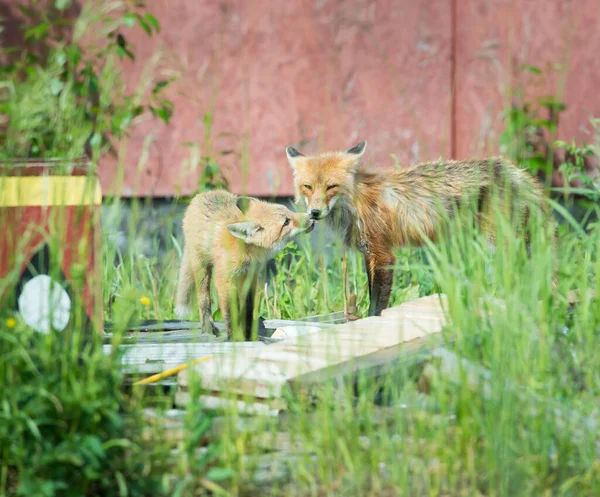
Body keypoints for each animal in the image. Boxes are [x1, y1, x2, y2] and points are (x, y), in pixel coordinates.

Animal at [173, 189, 314, 338]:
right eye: (286, 222)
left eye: (289, 211)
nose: (312, 216)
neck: (246, 251)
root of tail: (200, 195)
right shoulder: (224, 279)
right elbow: (230, 312)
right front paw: (234, 336)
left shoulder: (250, 276)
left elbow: (248, 310)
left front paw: (249, 335)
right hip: (202, 269)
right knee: (204, 299)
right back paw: (208, 327)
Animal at [286, 141, 548, 316]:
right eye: (308, 186)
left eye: (331, 187)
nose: (314, 213)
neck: (356, 201)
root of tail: (514, 170)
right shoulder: (369, 253)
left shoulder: (383, 254)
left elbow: (376, 304)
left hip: (499, 245)